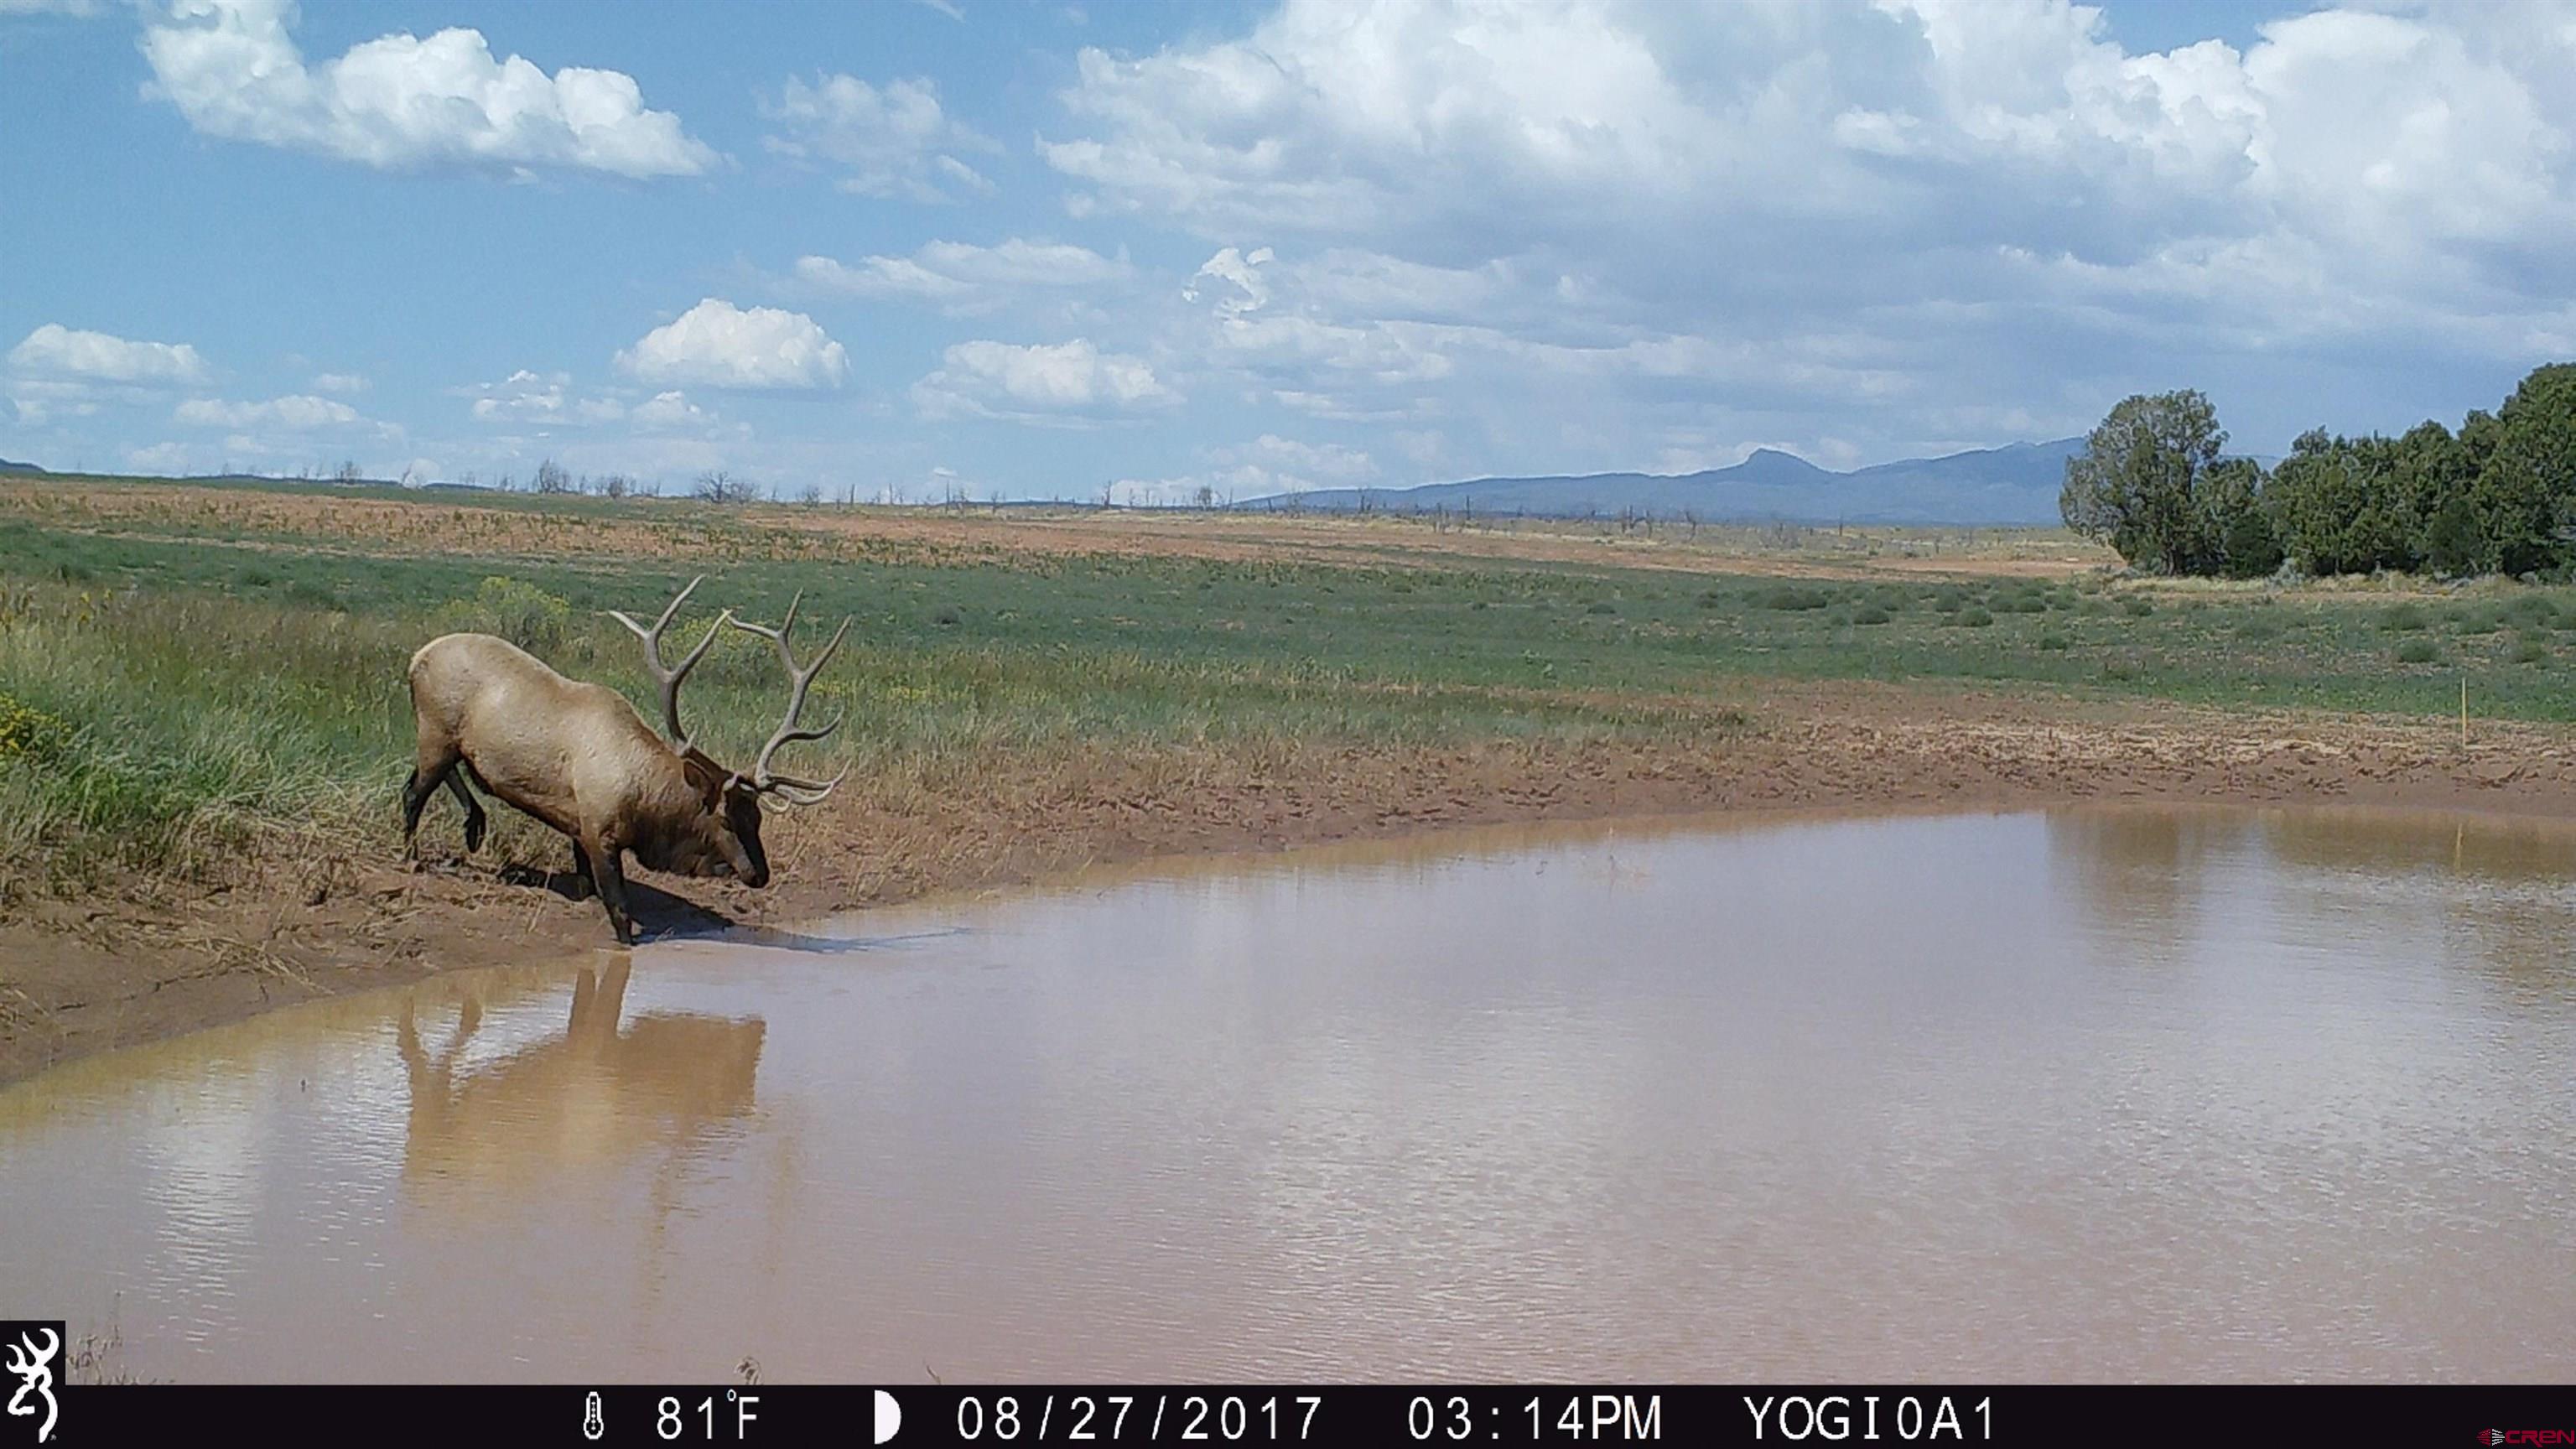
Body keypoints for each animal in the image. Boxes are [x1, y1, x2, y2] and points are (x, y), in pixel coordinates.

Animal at [401, 576, 852, 943]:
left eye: (757, 817)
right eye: (725, 819)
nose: (759, 874)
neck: (645, 803)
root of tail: (414, 659)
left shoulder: (576, 822)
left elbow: (584, 884)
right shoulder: (599, 831)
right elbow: (619, 914)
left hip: (444, 738)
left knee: (437, 775)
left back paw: (473, 825)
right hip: (435, 731)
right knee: (413, 792)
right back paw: (413, 855)